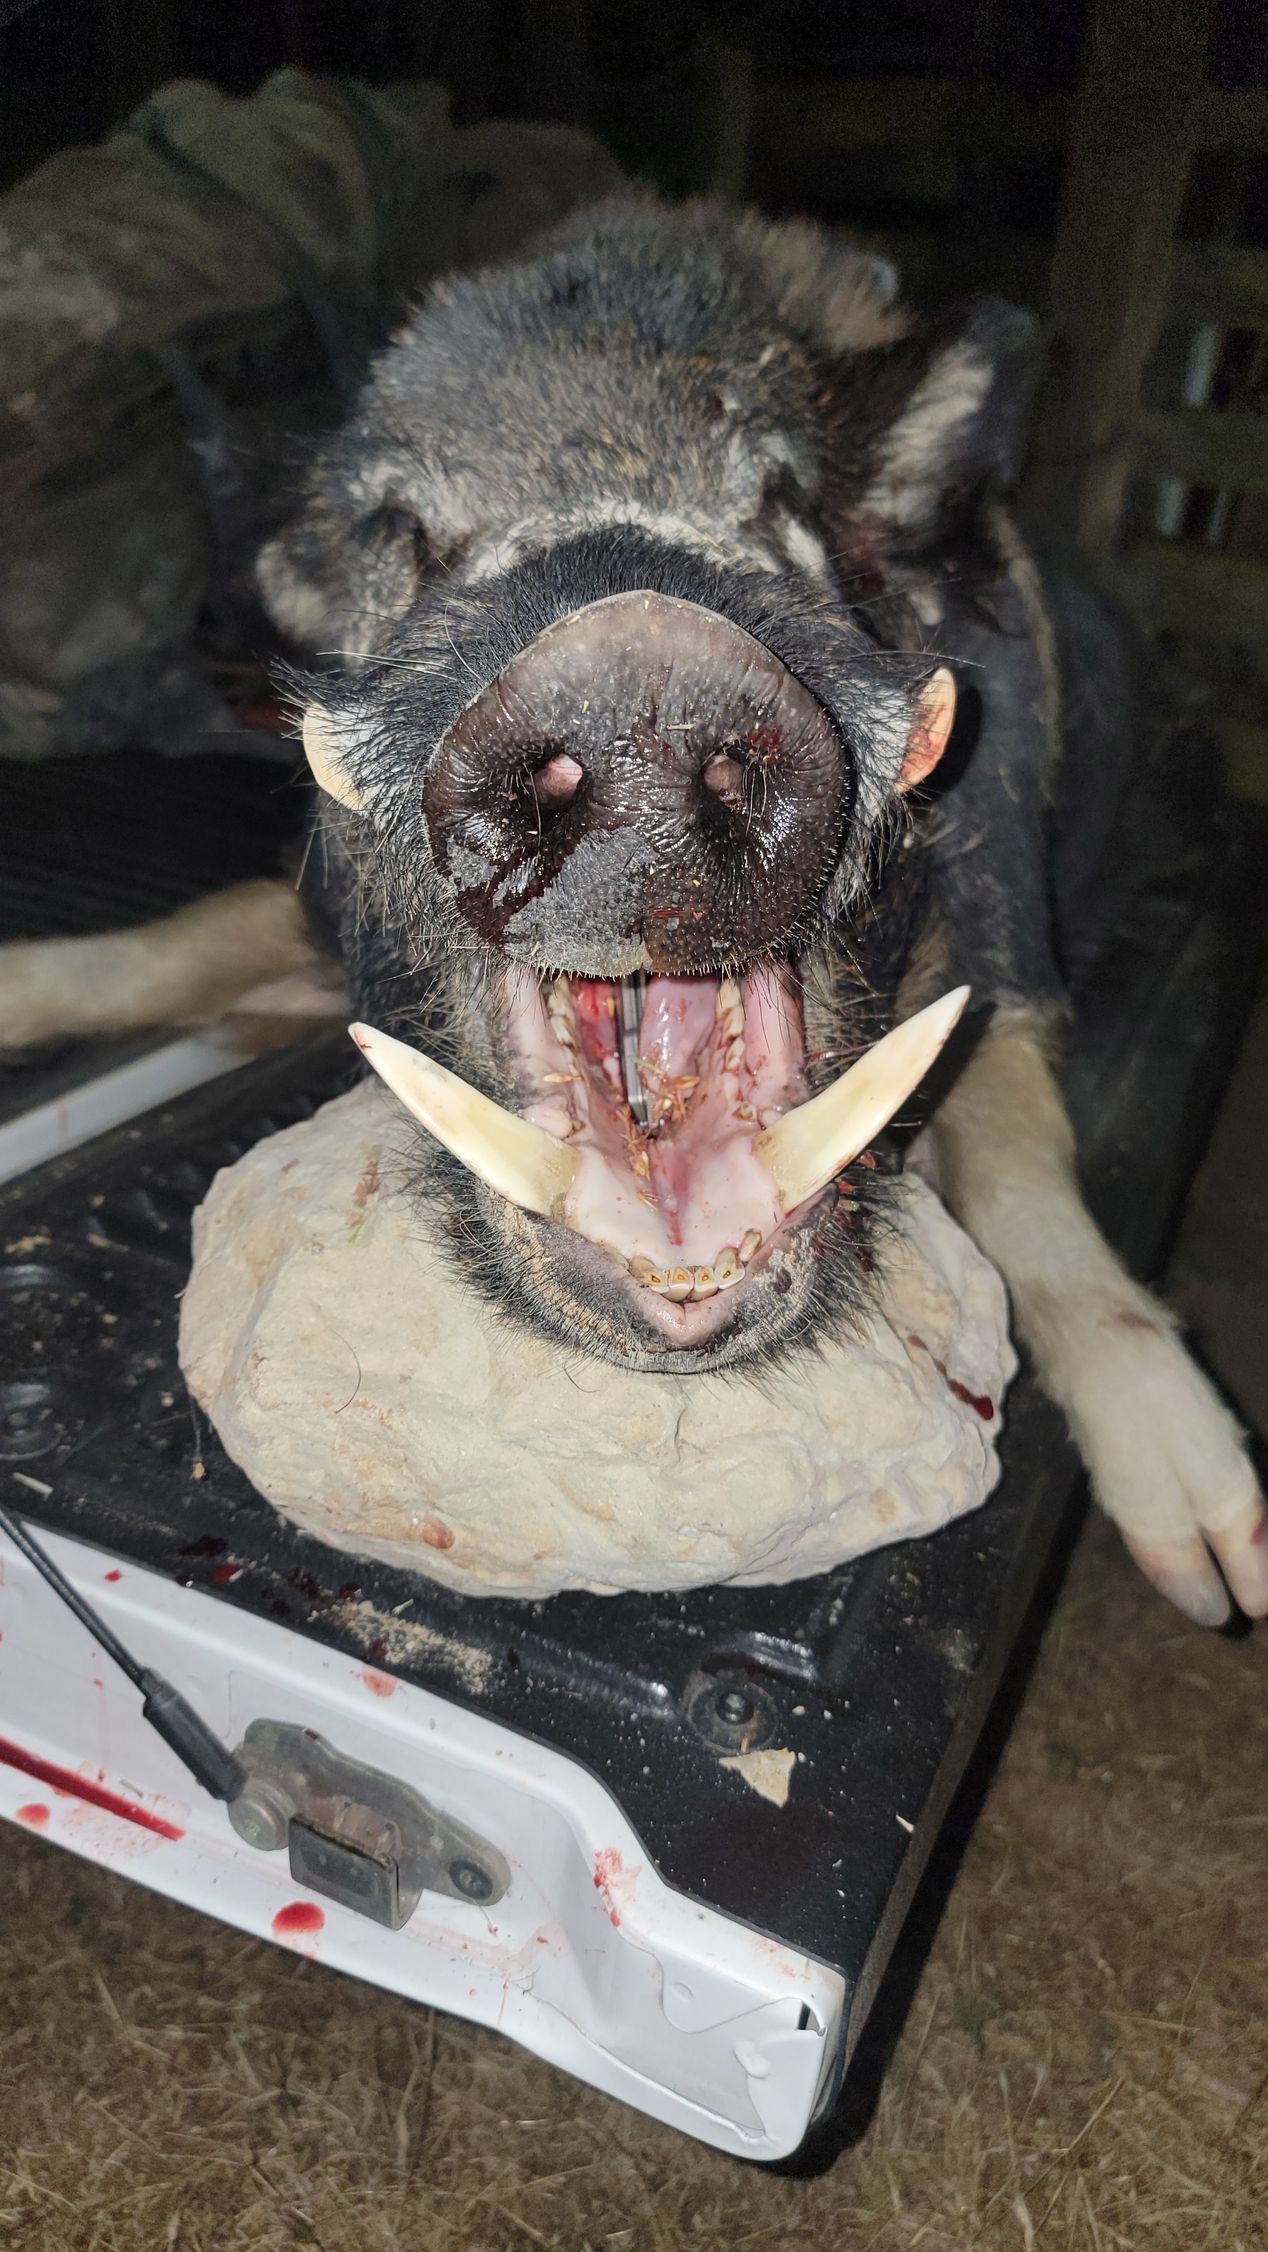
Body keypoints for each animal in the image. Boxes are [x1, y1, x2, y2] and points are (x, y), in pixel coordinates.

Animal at [2, 193, 1264, 1627]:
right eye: (404, 533)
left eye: (779, 496)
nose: (636, 660)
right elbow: (192, 933)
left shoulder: (1006, 950)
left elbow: (1010, 1132)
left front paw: (1216, 1568)